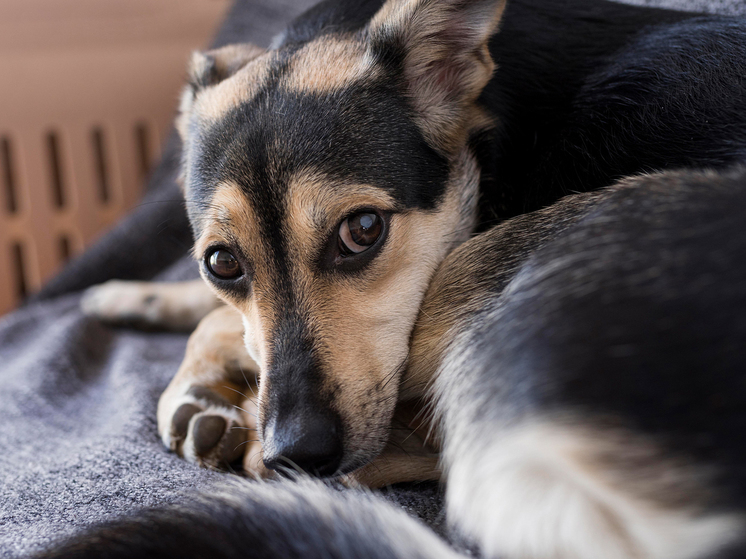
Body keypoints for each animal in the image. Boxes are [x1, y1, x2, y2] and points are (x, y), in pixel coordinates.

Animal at [67, 0, 740, 556]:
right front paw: (135, 297)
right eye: (221, 263)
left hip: (510, 256)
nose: (298, 453)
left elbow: (219, 326)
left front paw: (195, 385)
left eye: (363, 228)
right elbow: (219, 313)